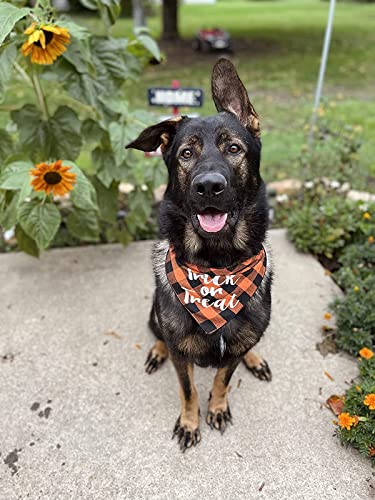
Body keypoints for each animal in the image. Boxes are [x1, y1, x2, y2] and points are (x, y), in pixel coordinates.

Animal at [128, 56, 272, 452]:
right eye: (186, 154)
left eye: (233, 149)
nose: (208, 187)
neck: (216, 267)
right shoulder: (182, 354)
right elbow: (189, 389)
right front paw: (190, 423)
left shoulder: (232, 350)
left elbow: (222, 379)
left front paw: (217, 408)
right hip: (154, 314)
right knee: (159, 332)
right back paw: (157, 350)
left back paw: (256, 356)